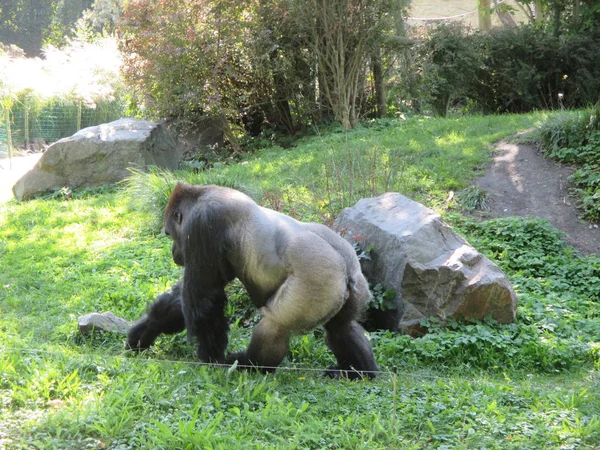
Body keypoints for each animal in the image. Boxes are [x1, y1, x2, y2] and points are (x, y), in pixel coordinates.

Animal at [127, 183, 380, 380]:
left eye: (169, 234)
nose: (173, 252)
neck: (203, 194)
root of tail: (345, 264)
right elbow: (193, 296)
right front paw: (148, 328)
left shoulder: (202, 224)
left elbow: (204, 300)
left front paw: (213, 359)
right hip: (356, 283)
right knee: (341, 327)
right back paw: (358, 373)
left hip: (317, 280)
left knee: (275, 325)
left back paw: (249, 365)